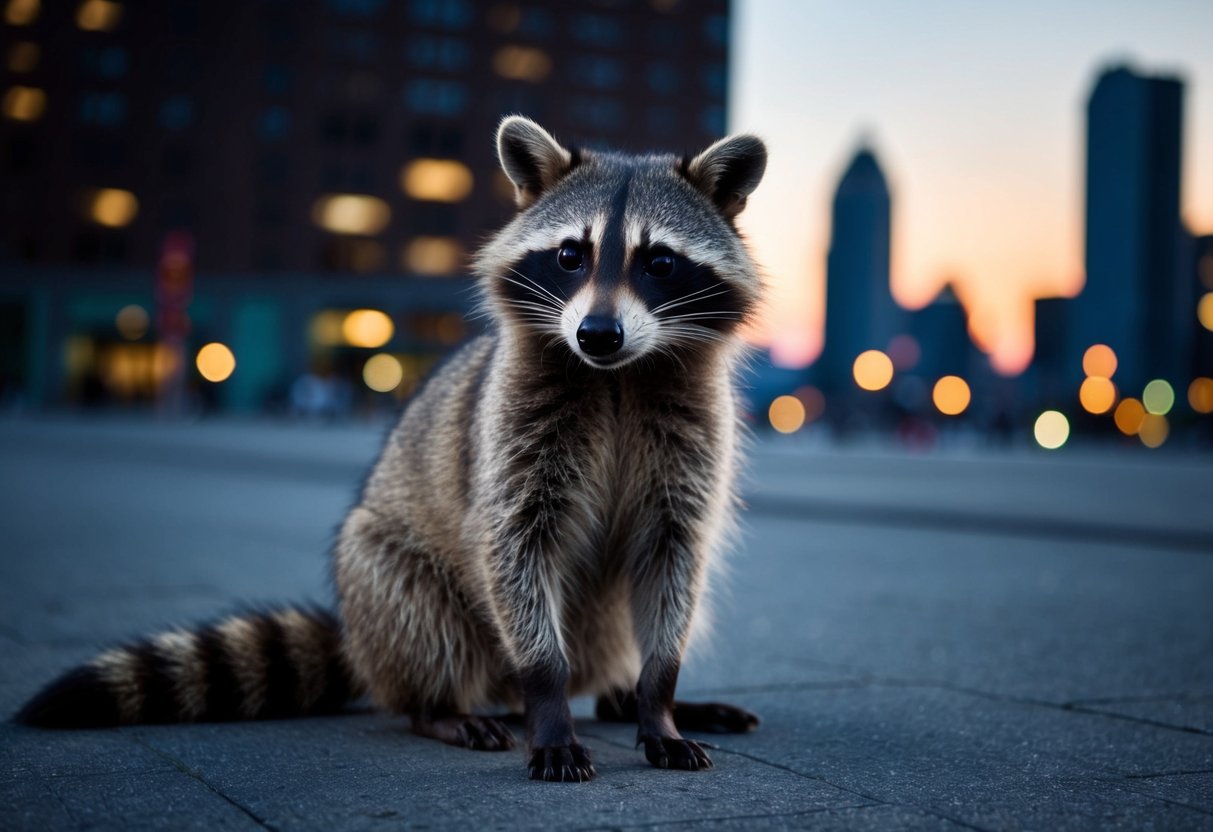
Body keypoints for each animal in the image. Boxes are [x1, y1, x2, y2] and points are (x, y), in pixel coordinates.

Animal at [16, 117, 768, 782]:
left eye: (660, 262)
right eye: (569, 255)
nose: (597, 334)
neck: (616, 377)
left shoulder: (691, 449)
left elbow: (674, 562)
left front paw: (658, 701)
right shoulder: (509, 439)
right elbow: (513, 552)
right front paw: (550, 705)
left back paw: (621, 696)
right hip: (387, 576)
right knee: (419, 612)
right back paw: (443, 707)